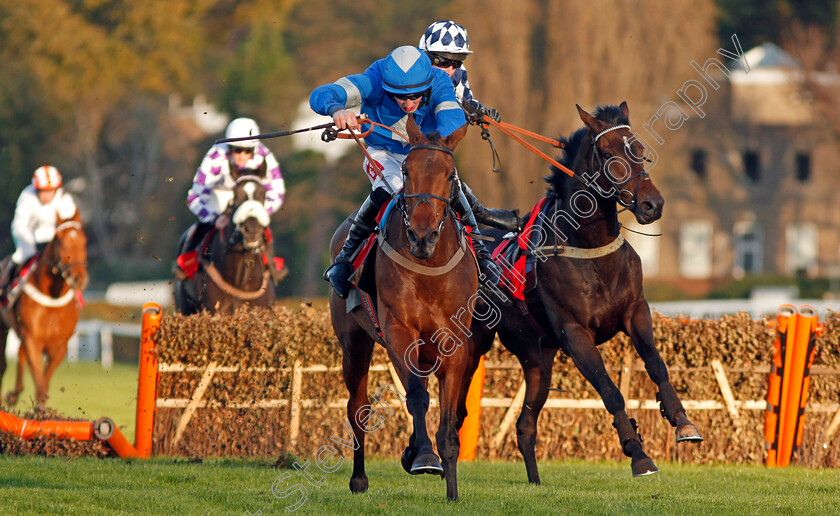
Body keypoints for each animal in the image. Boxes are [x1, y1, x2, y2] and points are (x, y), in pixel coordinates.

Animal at [0, 211, 88, 408]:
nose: (78, 278)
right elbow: (40, 383)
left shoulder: (60, 346)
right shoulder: (32, 339)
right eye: (60, 242)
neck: (52, 299)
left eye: (84, 241)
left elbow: (45, 382)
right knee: (3, 364)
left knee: (20, 355)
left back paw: (14, 395)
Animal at [332, 118, 482, 500]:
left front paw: (451, 488)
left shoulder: (455, 342)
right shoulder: (399, 331)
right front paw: (425, 457)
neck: (429, 267)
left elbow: (448, 418)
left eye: (449, 174)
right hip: (355, 343)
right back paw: (359, 479)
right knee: (358, 408)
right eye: (407, 171)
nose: (422, 236)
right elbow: (416, 397)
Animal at [472, 103, 704, 482]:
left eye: (639, 149)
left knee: (525, 426)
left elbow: (656, 365)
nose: (652, 204)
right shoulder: (575, 334)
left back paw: (534, 481)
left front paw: (682, 421)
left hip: (536, 358)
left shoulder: (636, 311)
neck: (591, 250)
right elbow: (610, 391)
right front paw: (638, 453)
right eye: (607, 154)